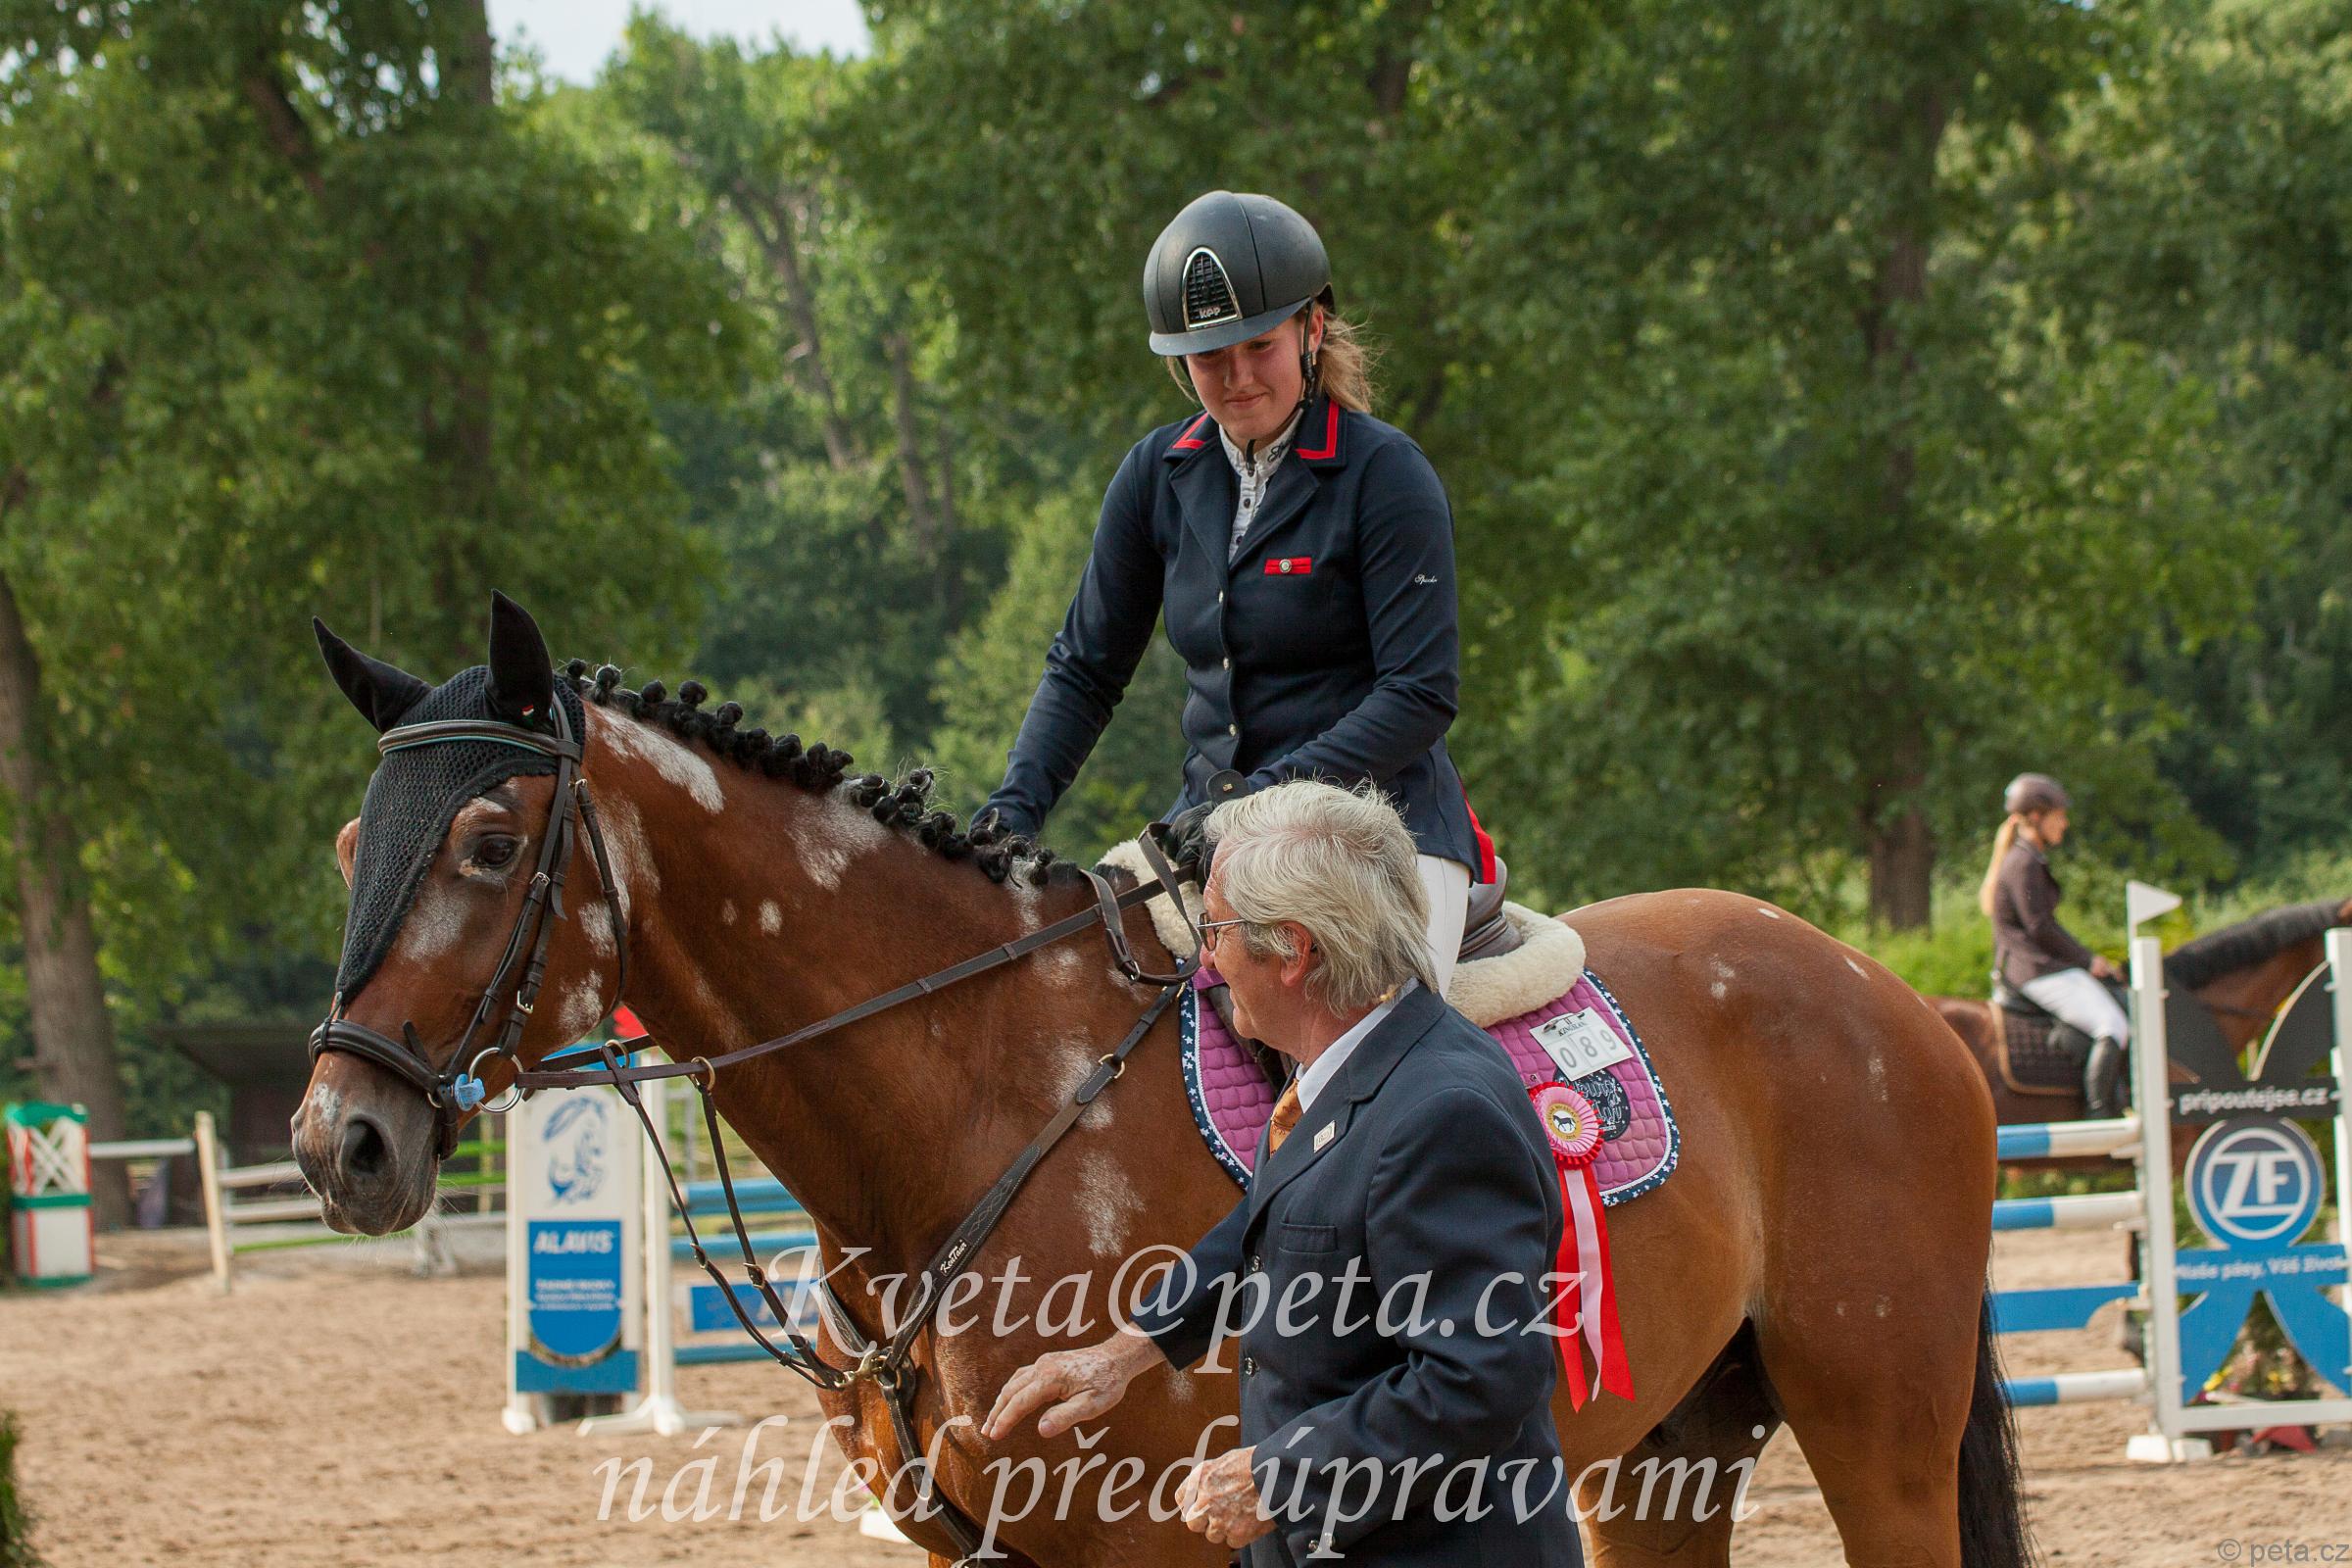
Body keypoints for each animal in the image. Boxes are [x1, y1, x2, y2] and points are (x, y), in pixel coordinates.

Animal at [291, 597, 2033, 1568]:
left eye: (490, 843)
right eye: (350, 843)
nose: (338, 1145)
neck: (970, 1104)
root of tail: (1888, 998)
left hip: (1875, 1429)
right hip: (1669, 1459)